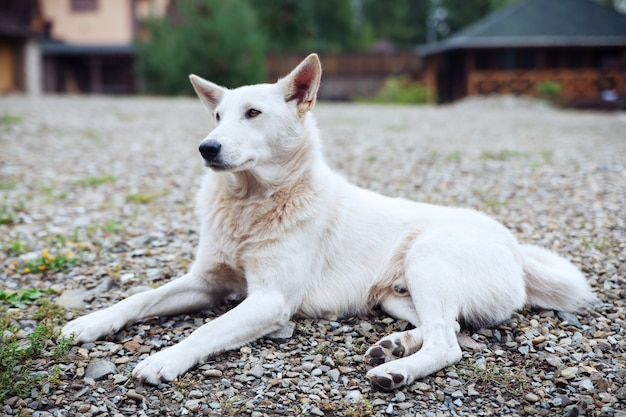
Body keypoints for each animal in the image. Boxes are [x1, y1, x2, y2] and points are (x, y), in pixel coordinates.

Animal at [63, 53, 596, 388]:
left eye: (252, 113)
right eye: (216, 116)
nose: (206, 148)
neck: (252, 203)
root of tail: (515, 248)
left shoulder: (269, 300)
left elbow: (206, 331)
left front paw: (164, 359)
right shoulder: (205, 281)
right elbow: (139, 299)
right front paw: (88, 323)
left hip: (429, 262)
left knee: (449, 344)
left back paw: (395, 371)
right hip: (394, 295)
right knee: (447, 328)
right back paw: (394, 346)